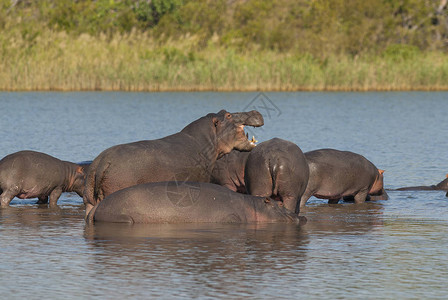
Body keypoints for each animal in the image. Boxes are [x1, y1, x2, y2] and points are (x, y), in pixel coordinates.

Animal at [84, 109, 262, 217]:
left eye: (225, 111)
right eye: (229, 115)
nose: (255, 111)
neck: (208, 139)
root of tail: (101, 163)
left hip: (89, 199)